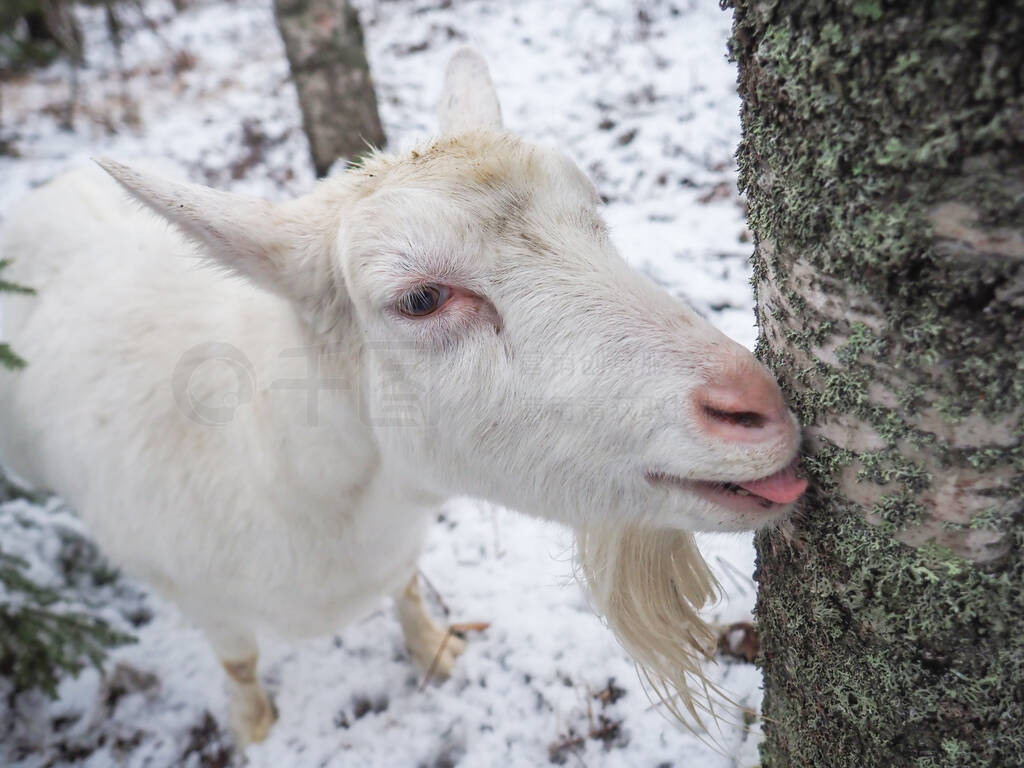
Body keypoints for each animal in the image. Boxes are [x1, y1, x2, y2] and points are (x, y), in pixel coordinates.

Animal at [0, 49, 806, 745]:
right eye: (421, 299)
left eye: (596, 218)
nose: (755, 410)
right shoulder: (196, 592)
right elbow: (239, 660)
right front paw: (256, 728)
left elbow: (408, 588)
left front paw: (435, 649)